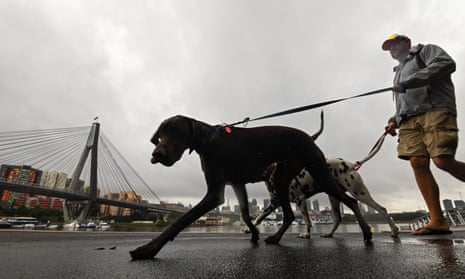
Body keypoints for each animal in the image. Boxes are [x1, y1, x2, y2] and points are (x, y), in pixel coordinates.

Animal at [129, 116, 372, 260]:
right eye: (160, 135)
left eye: (177, 132)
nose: (156, 154)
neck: (208, 141)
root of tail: (309, 137)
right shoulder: (238, 184)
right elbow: (246, 214)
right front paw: (254, 232)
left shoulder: (214, 194)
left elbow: (178, 222)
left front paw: (148, 249)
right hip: (283, 178)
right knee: (290, 214)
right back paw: (275, 237)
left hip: (318, 174)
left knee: (351, 201)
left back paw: (367, 233)